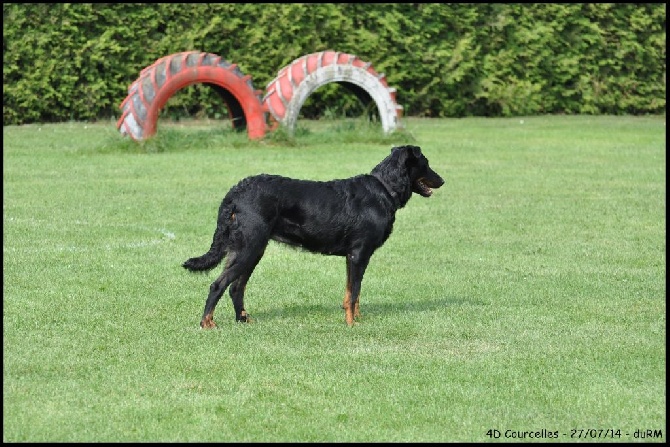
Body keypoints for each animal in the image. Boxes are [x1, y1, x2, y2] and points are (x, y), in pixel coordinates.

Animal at [184, 145, 446, 328]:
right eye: (426, 163)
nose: (442, 180)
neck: (384, 189)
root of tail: (235, 193)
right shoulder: (358, 254)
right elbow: (354, 291)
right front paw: (351, 323)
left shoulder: (353, 257)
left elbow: (352, 293)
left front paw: (355, 318)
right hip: (249, 247)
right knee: (218, 285)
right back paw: (207, 323)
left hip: (251, 249)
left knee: (236, 287)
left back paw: (243, 319)